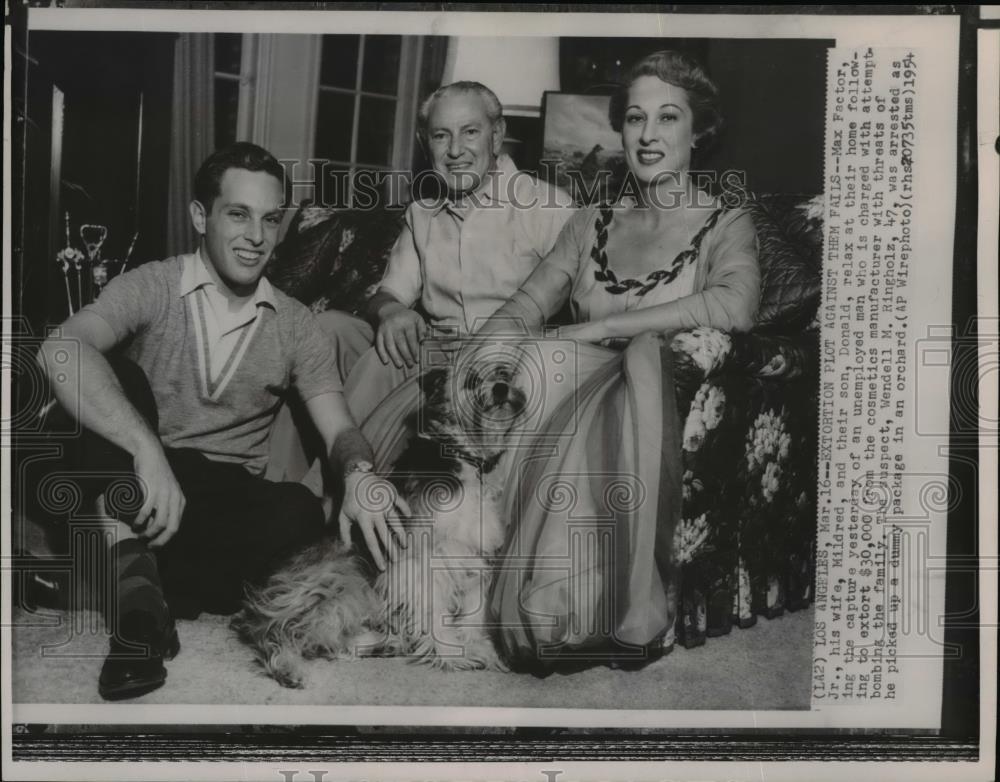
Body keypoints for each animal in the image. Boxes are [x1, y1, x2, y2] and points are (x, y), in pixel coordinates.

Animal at [233, 358, 528, 688]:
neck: (461, 456)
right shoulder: (422, 562)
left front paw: (478, 646)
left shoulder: (473, 554)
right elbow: (435, 611)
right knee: (282, 632)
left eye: (503, 374)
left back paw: (384, 643)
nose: (502, 388)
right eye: (472, 379)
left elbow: (473, 612)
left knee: (328, 640)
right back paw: (288, 665)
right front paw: (452, 654)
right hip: (341, 580)